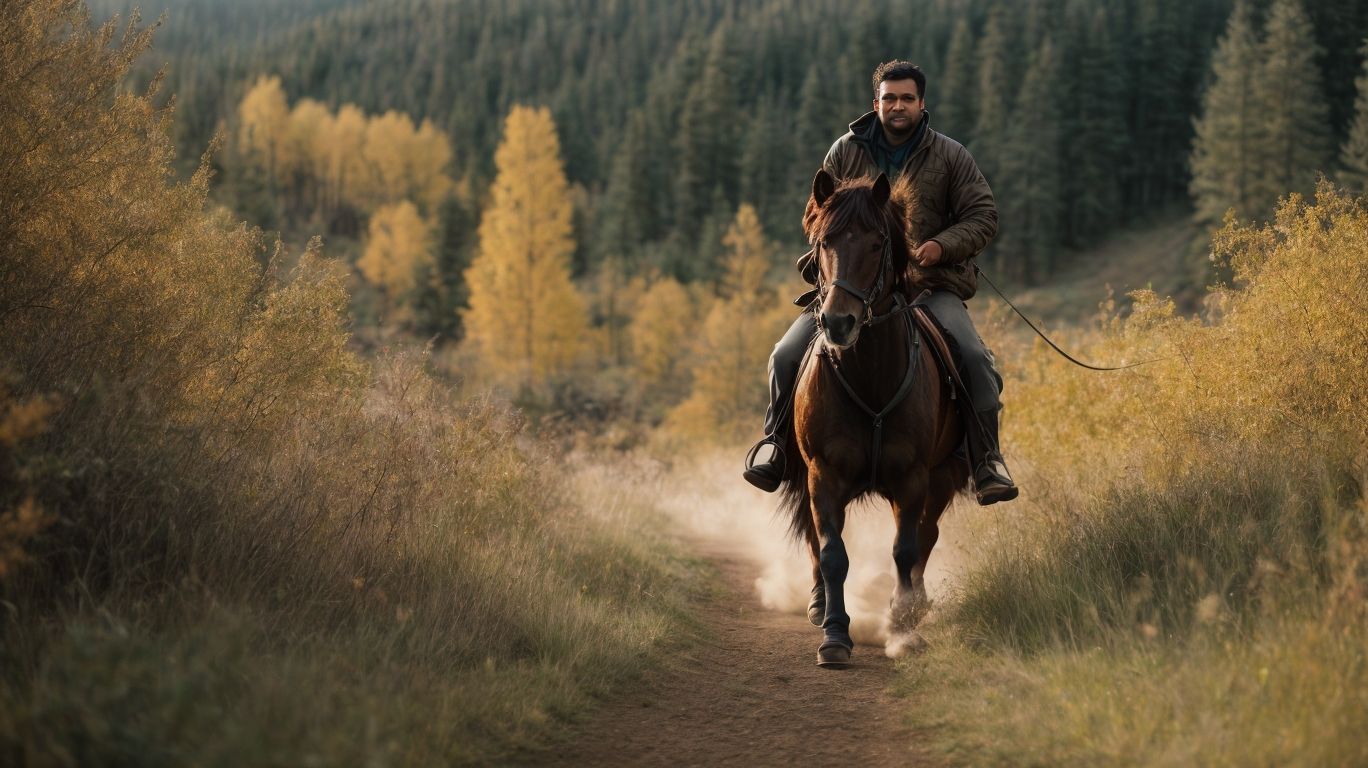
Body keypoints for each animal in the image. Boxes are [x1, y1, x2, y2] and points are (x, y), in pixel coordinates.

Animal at [778, 168, 969, 667]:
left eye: (877, 243)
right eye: (823, 241)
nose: (838, 323)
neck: (870, 378)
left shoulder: (914, 478)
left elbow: (905, 549)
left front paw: (902, 628)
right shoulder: (823, 474)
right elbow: (832, 554)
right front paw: (834, 634)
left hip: (943, 478)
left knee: (927, 537)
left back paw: (917, 605)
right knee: (816, 538)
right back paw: (818, 603)